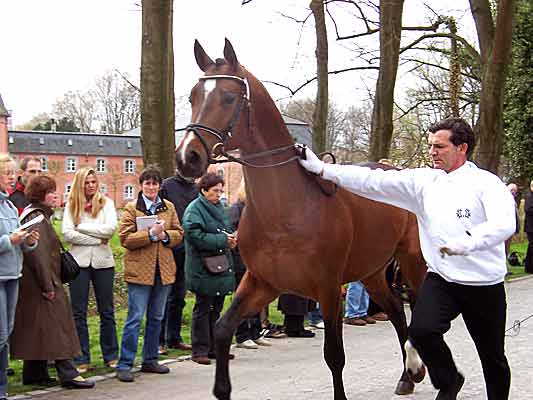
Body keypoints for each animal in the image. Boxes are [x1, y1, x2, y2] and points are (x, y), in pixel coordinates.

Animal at [177, 38, 426, 400]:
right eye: (193, 97)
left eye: (228, 97)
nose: (188, 157)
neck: (287, 212)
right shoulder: (261, 282)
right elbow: (222, 330)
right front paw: (222, 388)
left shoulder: (327, 287)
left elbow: (334, 355)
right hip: (372, 271)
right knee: (396, 312)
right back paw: (407, 375)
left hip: (411, 259)